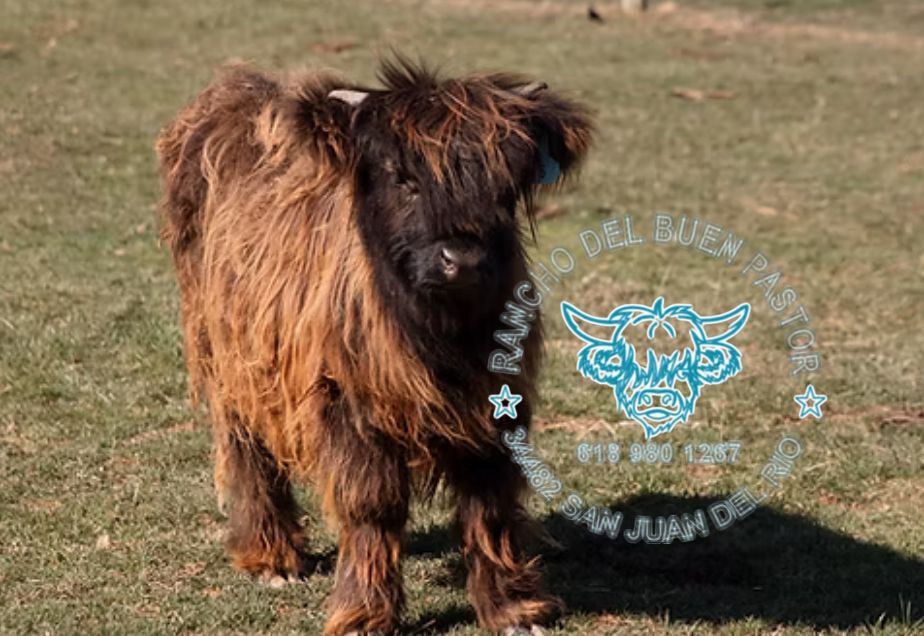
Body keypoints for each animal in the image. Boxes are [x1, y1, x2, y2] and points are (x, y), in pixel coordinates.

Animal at [156, 58, 592, 635]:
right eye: (402, 178)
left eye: (503, 184)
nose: (462, 259)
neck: (437, 333)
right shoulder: (348, 402)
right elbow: (372, 505)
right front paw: (365, 612)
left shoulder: (497, 398)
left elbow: (490, 499)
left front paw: (513, 607)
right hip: (229, 354)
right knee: (247, 444)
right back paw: (271, 558)